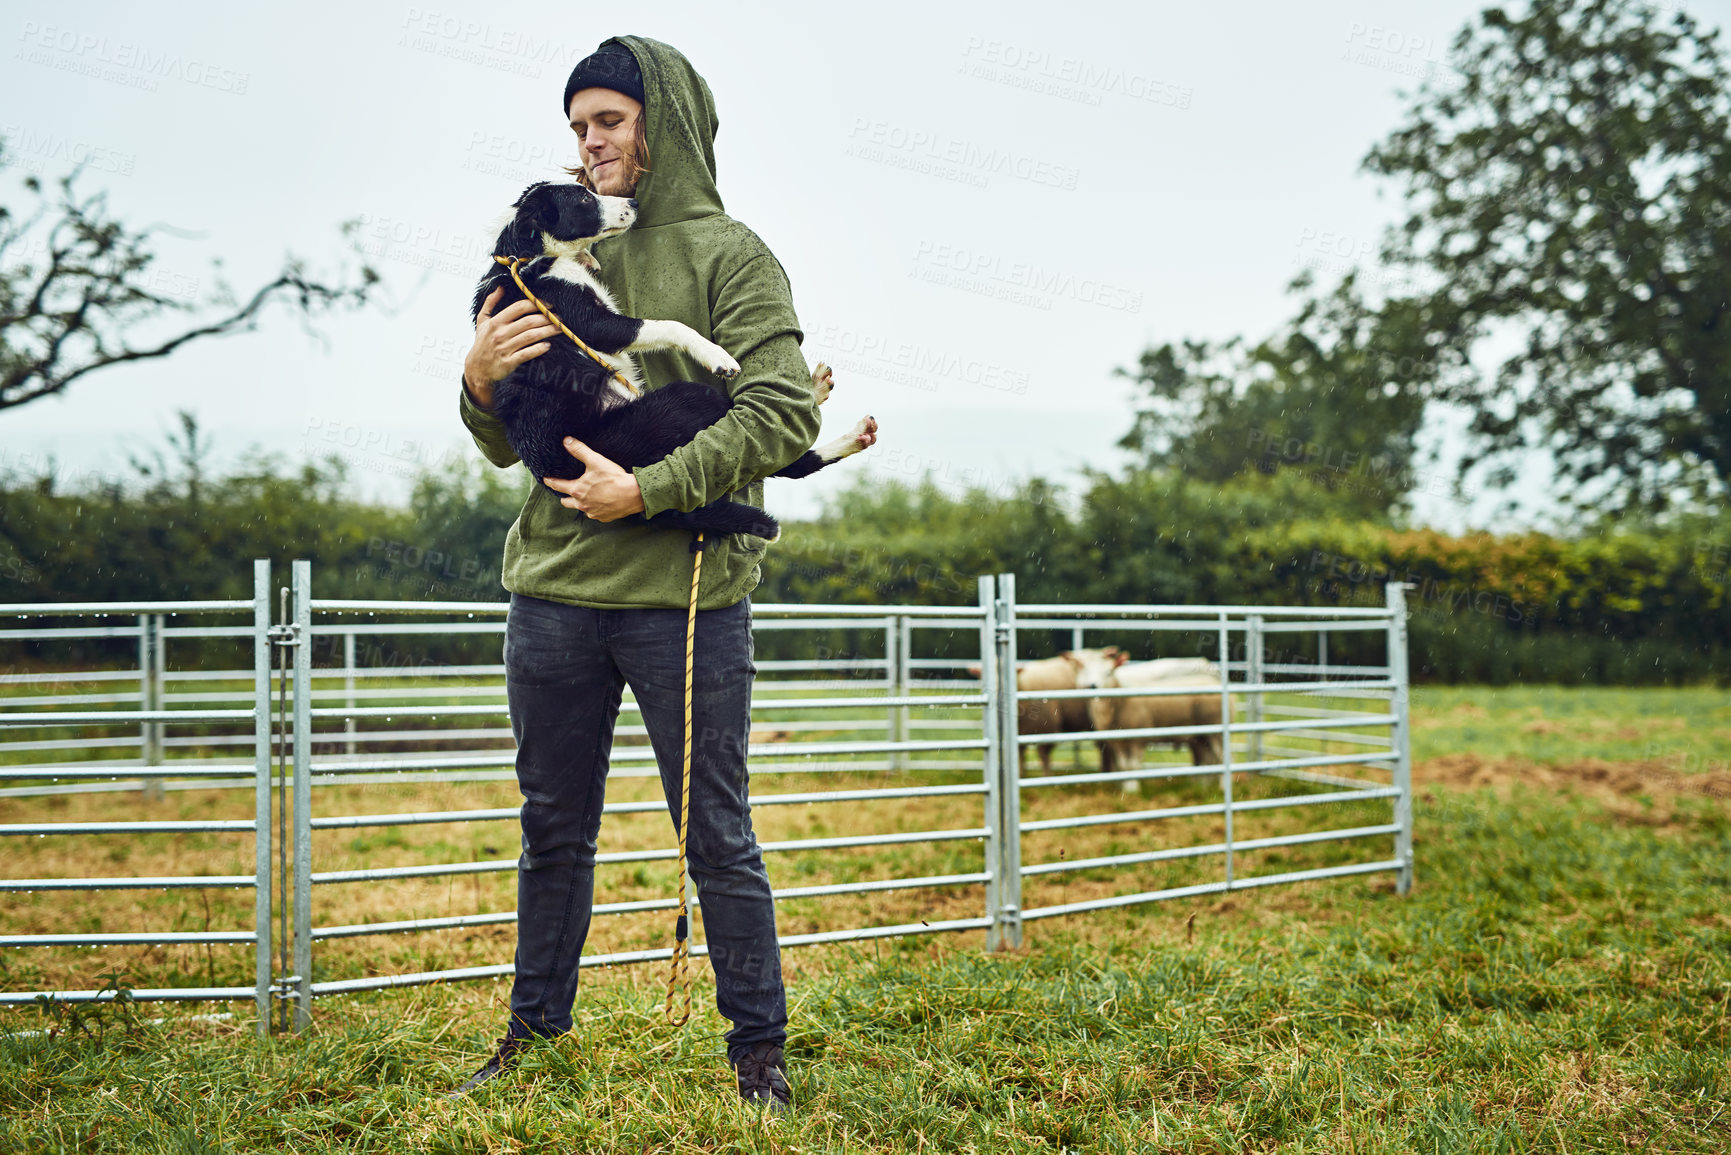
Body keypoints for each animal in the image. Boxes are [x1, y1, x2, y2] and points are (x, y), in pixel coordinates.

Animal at [477, 180, 879, 543]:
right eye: (583, 198)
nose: (635, 202)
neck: (526, 258)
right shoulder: (589, 322)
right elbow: (670, 325)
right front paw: (717, 357)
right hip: (684, 403)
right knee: (781, 455)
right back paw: (845, 430)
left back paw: (822, 396)